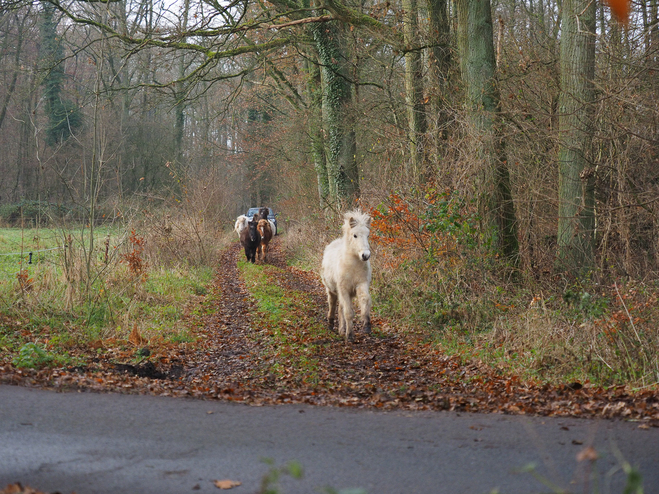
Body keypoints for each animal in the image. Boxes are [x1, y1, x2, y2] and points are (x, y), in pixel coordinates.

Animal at [322, 209, 374, 344]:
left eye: (368, 235)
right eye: (355, 235)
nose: (365, 255)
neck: (353, 265)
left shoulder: (361, 284)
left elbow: (365, 299)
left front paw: (366, 325)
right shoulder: (343, 289)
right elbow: (348, 313)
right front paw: (350, 335)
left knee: (340, 308)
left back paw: (341, 330)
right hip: (332, 290)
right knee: (332, 304)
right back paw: (331, 324)